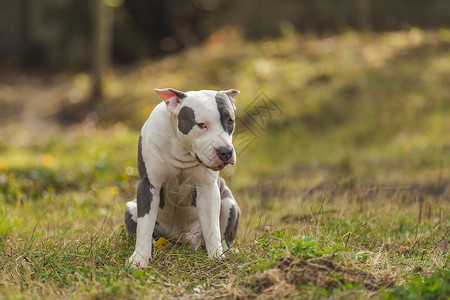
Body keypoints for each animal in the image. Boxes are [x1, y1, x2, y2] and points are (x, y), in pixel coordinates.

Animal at [125, 88, 241, 266]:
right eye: (201, 125)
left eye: (230, 121)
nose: (225, 151)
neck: (182, 150)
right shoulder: (149, 185)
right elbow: (144, 225)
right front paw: (140, 258)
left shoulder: (207, 188)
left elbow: (212, 226)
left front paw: (216, 256)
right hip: (130, 207)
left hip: (229, 203)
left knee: (223, 236)